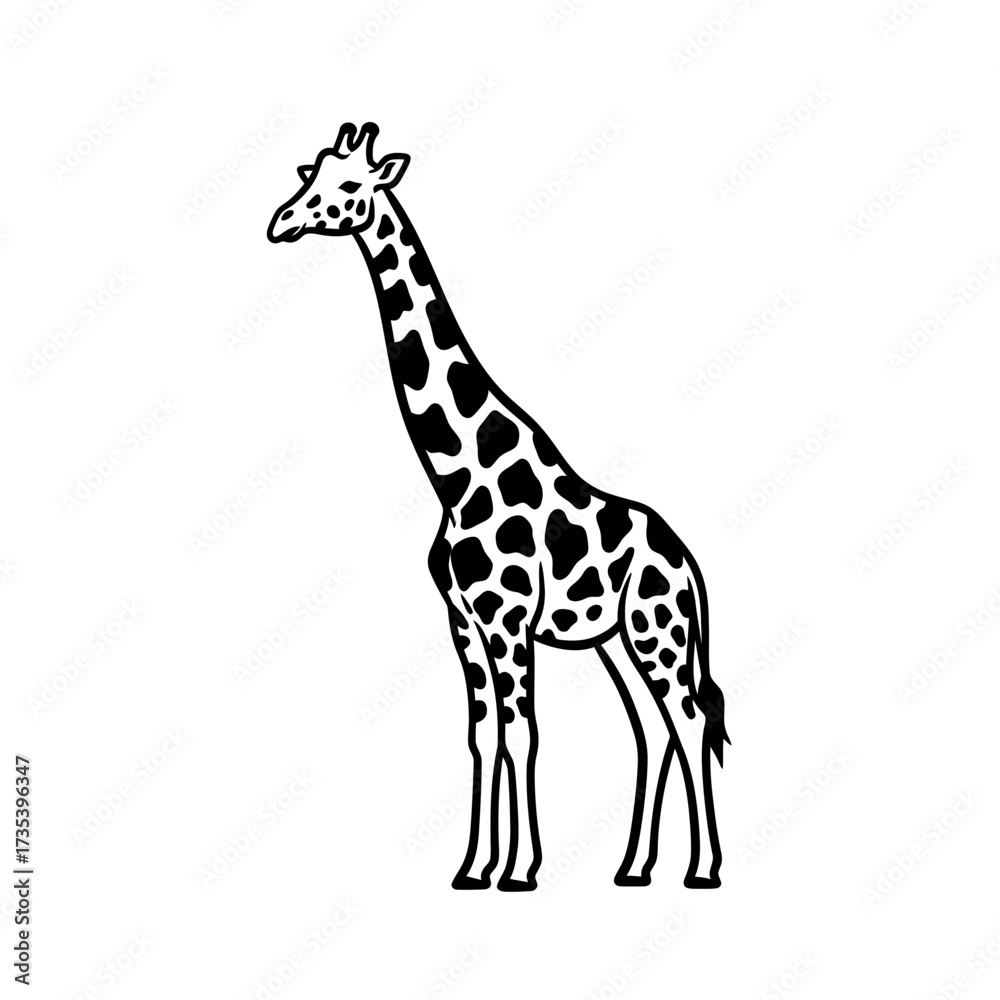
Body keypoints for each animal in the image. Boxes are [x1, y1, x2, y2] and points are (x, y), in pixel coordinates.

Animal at [267, 122, 728, 891]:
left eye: (351, 188)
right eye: (310, 176)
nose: (281, 222)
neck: (456, 473)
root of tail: (689, 563)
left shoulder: (508, 619)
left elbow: (523, 732)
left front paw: (520, 869)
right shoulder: (462, 621)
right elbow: (483, 735)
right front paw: (472, 867)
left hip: (656, 629)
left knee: (688, 722)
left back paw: (703, 868)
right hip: (615, 640)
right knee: (651, 728)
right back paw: (634, 867)